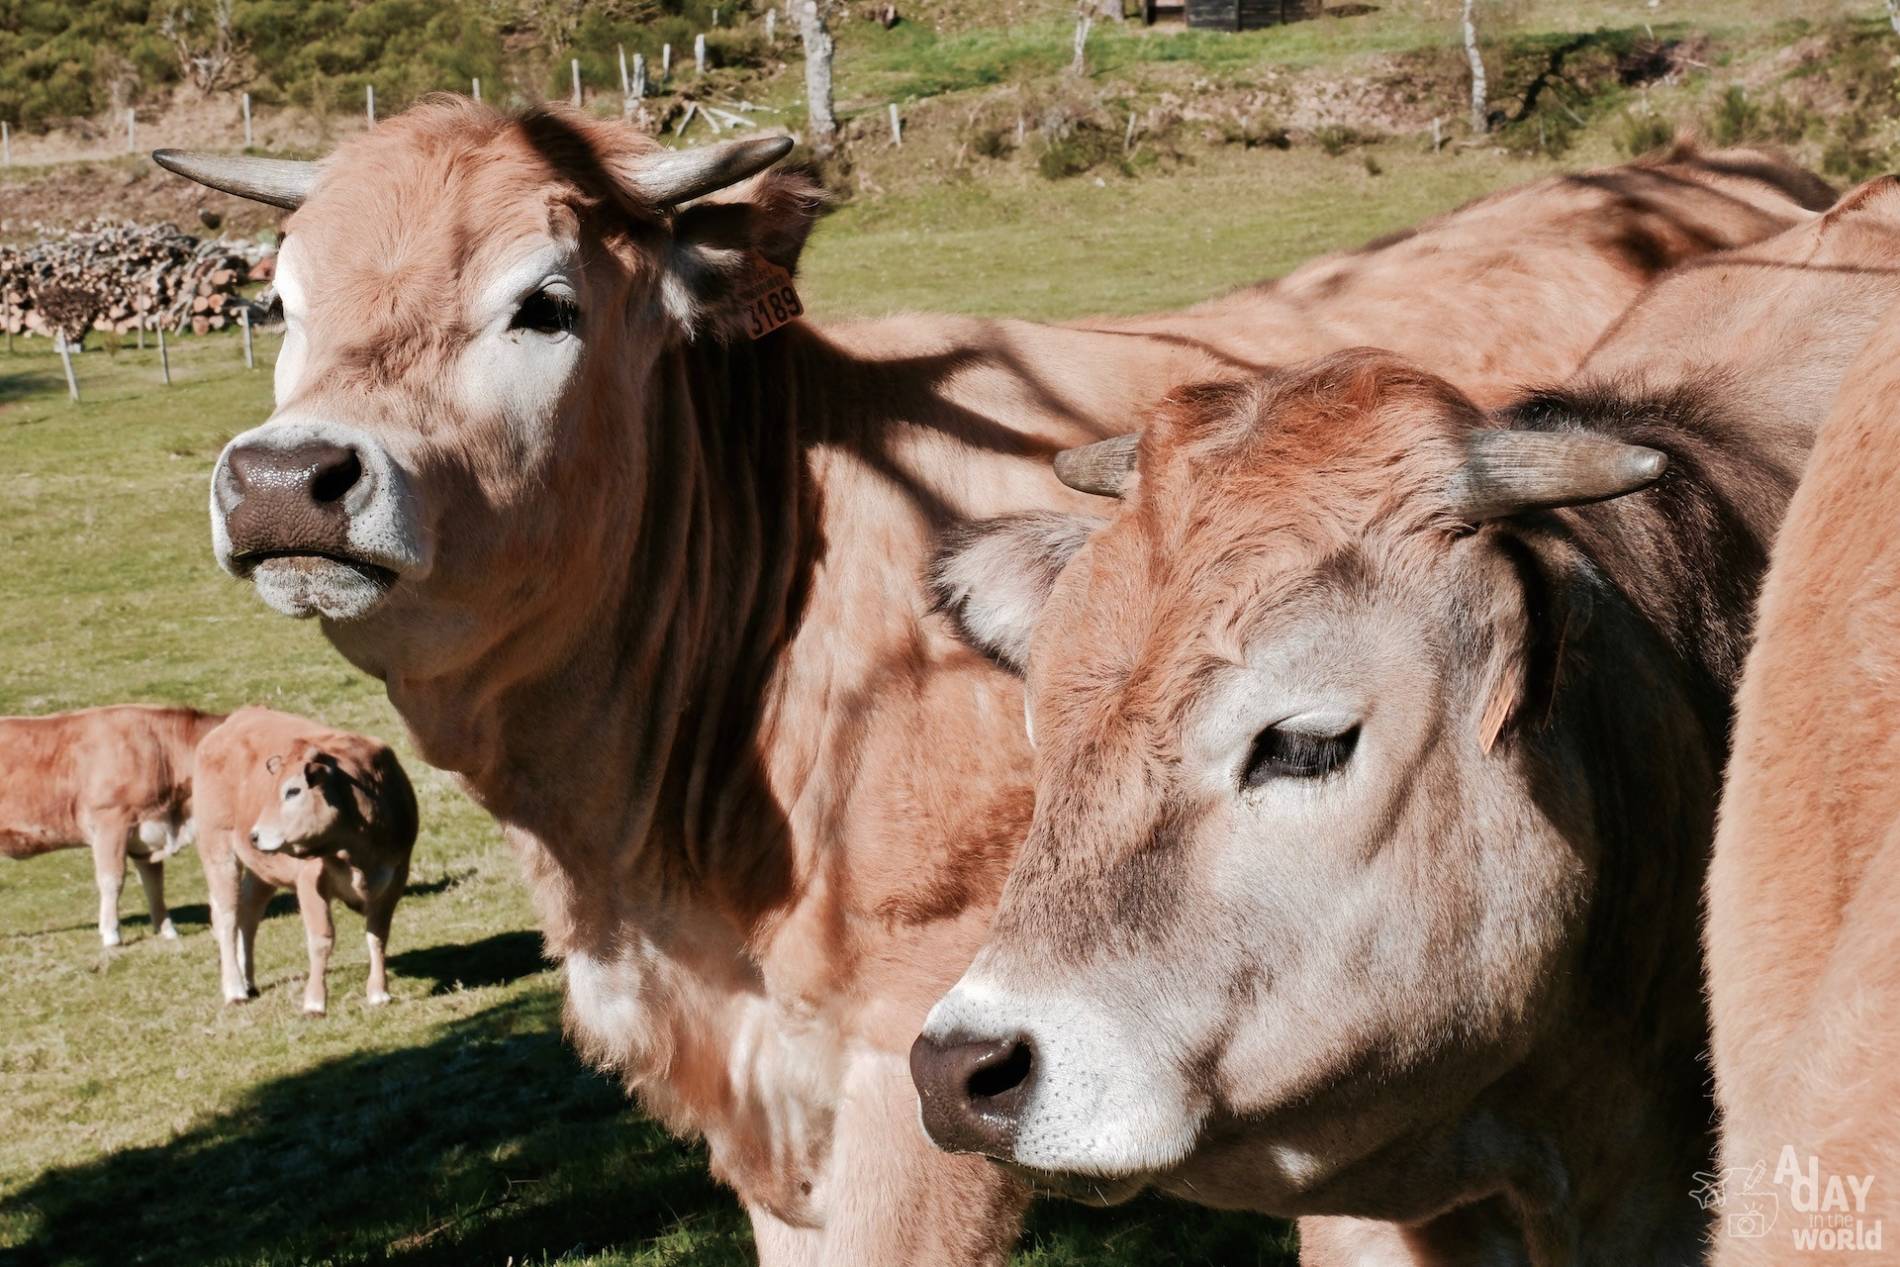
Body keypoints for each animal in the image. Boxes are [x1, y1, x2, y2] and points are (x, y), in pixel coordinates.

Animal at [190, 710, 418, 1018]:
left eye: (292, 791)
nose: (255, 835)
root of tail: (237, 717)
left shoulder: (395, 877)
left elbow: (378, 935)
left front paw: (378, 992)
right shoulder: (310, 881)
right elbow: (321, 939)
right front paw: (314, 1003)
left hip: (263, 870)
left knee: (249, 913)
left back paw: (249, 981)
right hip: (218, 849)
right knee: (226, 917)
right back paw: (235, 989)